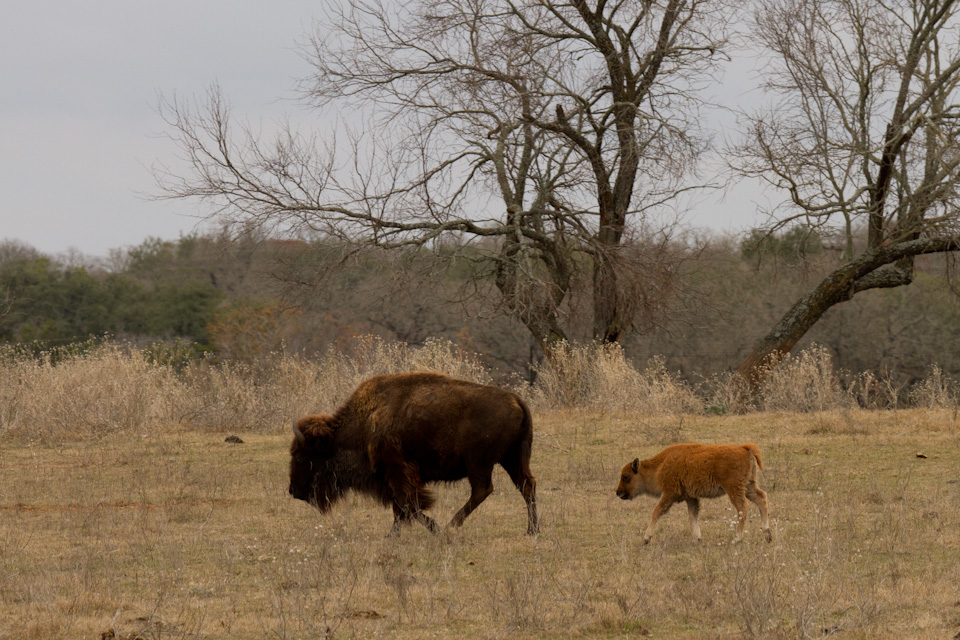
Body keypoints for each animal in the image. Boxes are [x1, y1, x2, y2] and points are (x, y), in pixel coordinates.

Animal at [289, 372, 539, 536]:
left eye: (301, 457)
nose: (293, 491)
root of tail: (516, 400)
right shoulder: (392, 477)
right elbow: (400, 508)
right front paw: (393, 535)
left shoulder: (397, 471)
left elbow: (408, 504)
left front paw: (434, 530)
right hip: (512, 458)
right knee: (526, 485)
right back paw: (532, 530)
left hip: (479, 462)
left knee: (483, 490)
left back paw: (450, 527)